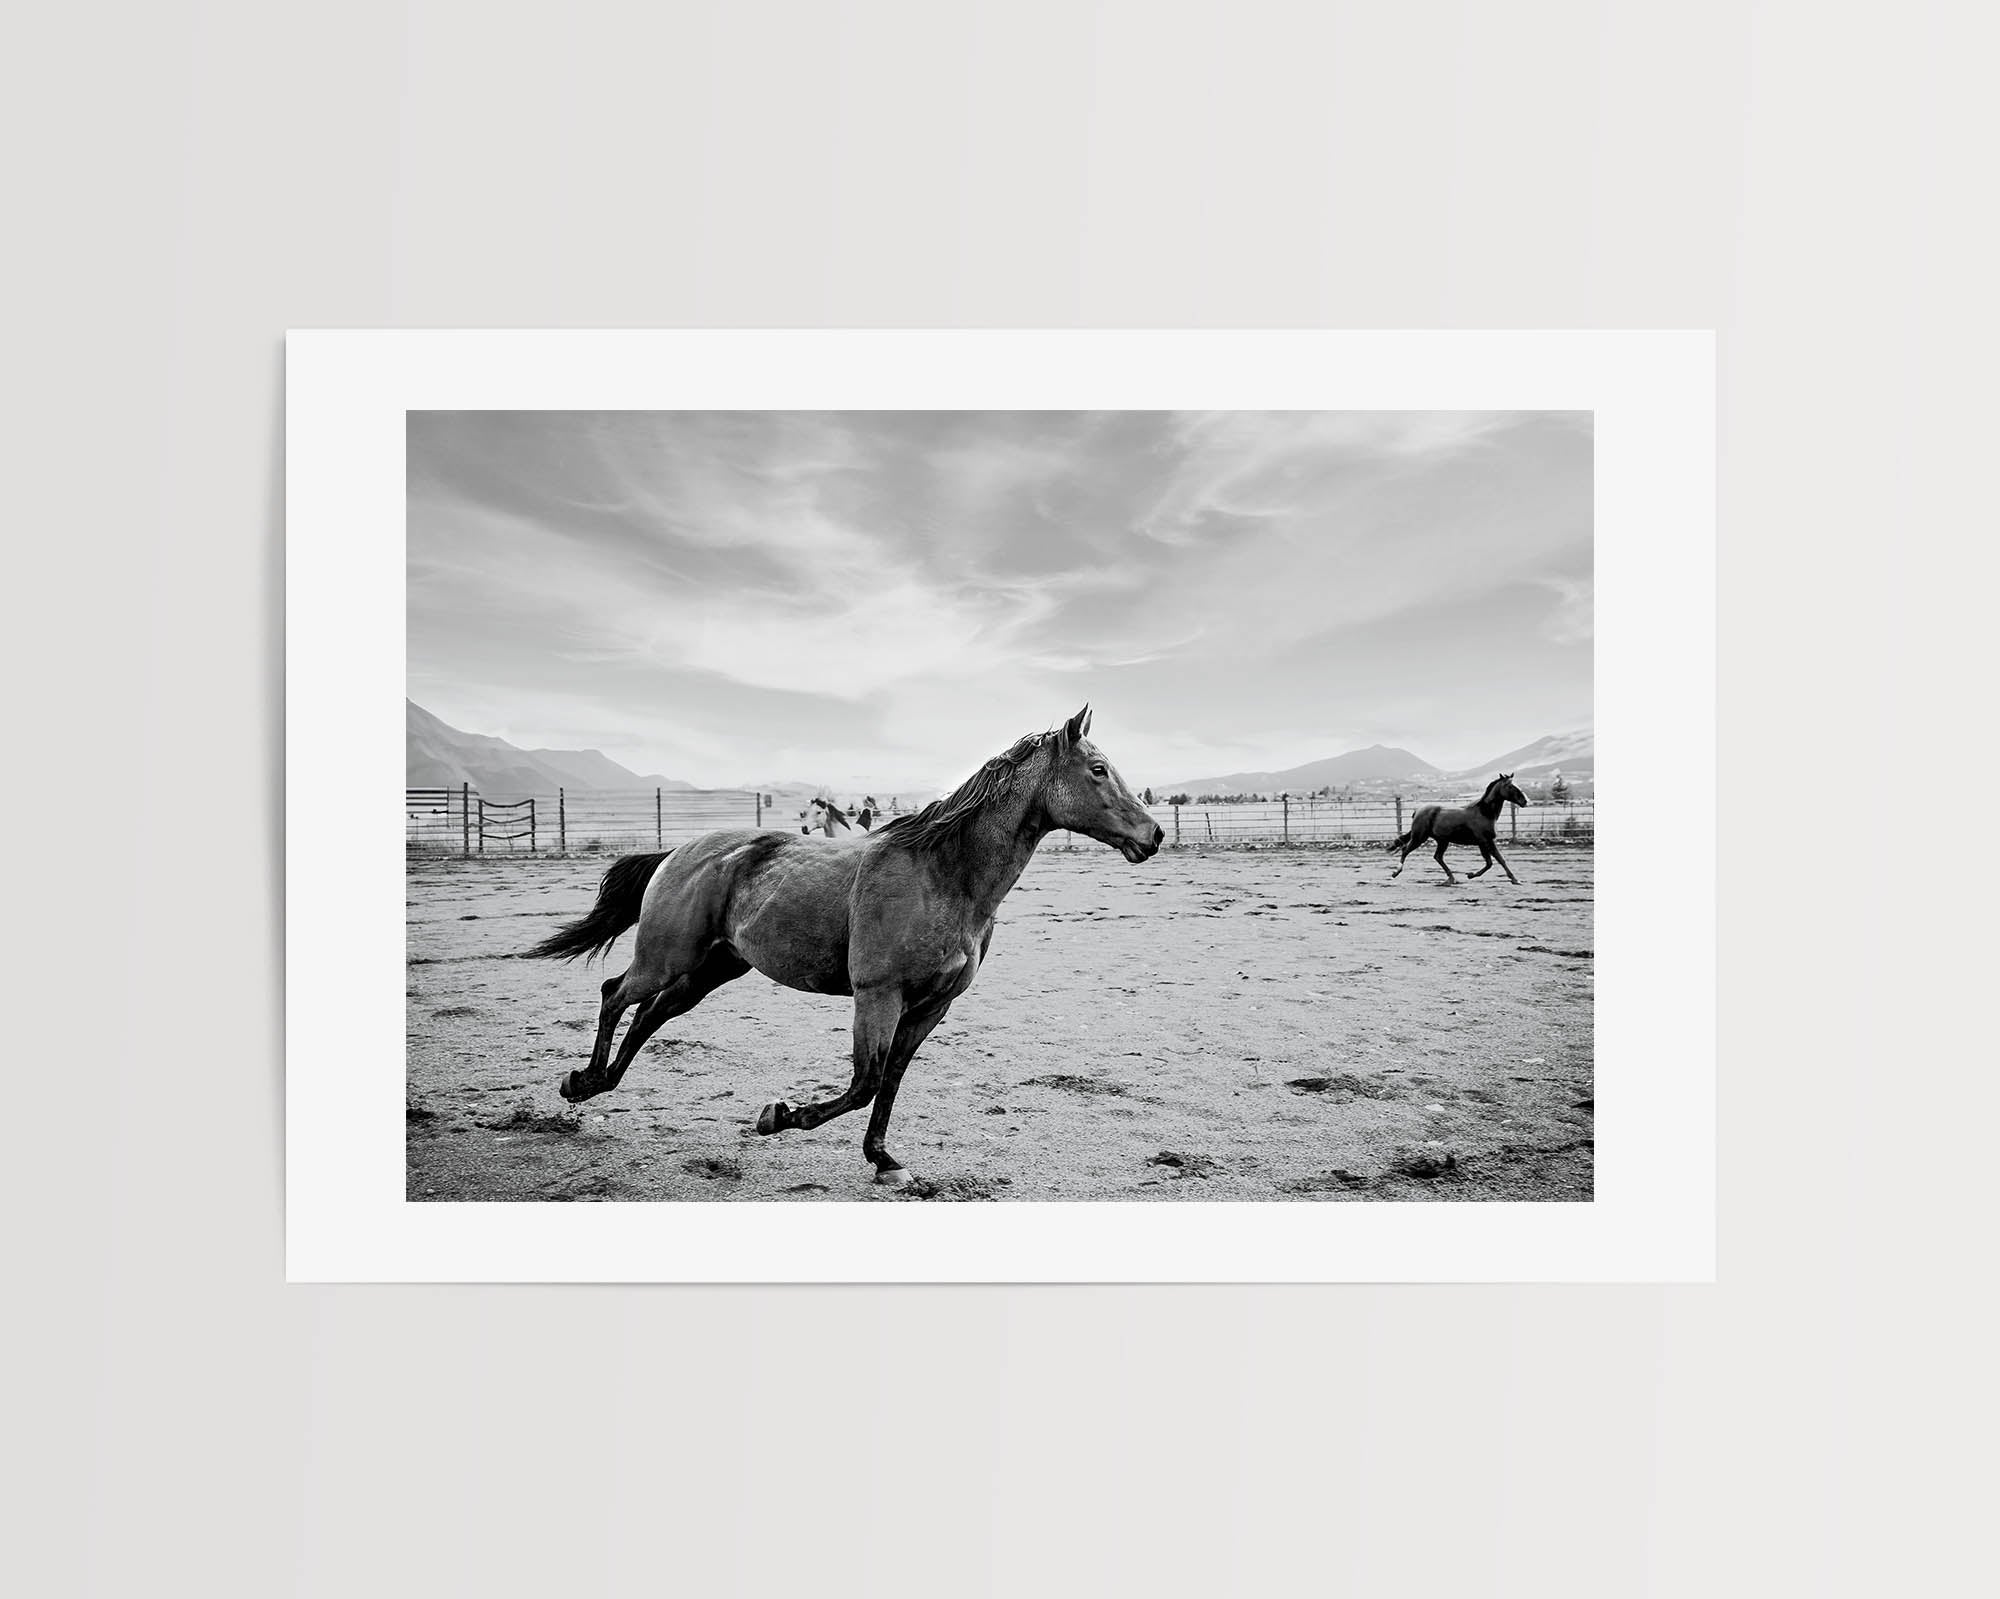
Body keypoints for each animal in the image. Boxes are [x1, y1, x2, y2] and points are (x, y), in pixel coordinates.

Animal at [524, 706, 1163, 1187]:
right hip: (666, 959)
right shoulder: (877, 994)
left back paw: (598, 1084)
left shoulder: (931, 1006)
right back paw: (582, 1082)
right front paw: (779, 1116)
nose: (1153, 834)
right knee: (615, 994)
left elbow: (892, 1078)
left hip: (710, 970)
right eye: (1099, 768)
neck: (942, 875)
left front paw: (883, 1160)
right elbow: (865, 1082)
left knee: (648, 1017)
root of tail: (680, 851)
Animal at [1387, 773, 1530, 885]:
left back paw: (1451, 879)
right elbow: (1494, 861)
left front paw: (1515, 880)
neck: (1484, 813)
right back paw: (1395, 872)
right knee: (1405, 850)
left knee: (1438, 857)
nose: (1525, 801)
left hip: (1442, 841)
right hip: (1419, 837)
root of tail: (1417, 811)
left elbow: (1495, 860)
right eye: (1510, 786)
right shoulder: (1484, 841)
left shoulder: (1486, 841)